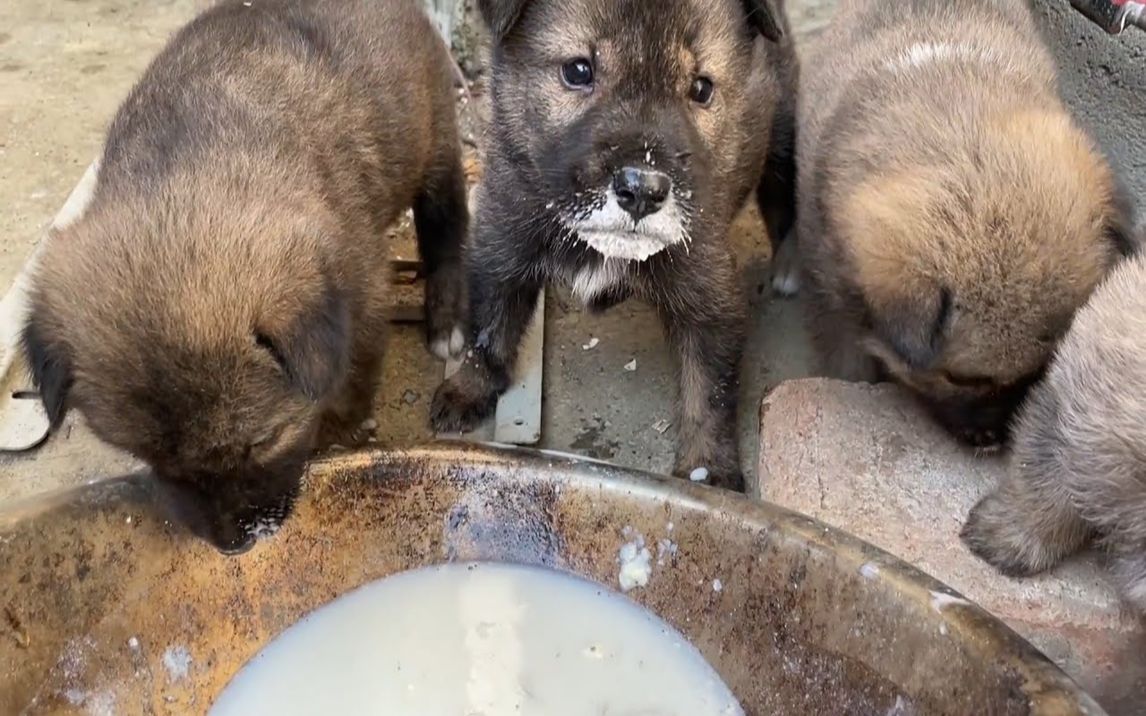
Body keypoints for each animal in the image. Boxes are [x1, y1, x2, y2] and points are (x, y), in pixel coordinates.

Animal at [20, 0, 465, 552]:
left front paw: (341, 434)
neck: (186, 176)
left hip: (435, 135)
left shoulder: (361, 287)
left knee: (447, 224)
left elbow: (353, 374)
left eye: (262, 441)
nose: (236, 543)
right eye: (150, 457)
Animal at [428, 0, 797, 488]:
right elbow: (488, 330)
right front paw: (467, 389)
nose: (643, 190)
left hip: (783, 137)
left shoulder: (708, 289)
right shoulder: (501, 243)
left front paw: (707, 469)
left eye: (701, 88)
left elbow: (709, 390)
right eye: (578, 70)